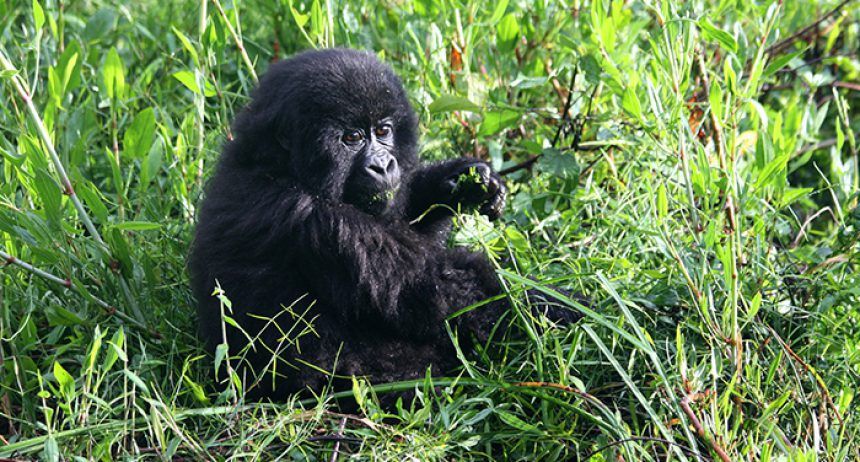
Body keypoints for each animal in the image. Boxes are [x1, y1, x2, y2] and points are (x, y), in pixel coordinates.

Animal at [188, 48, 576, 398]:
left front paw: (461, 181)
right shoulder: (319, 220)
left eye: (383, 130)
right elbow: (448, 297)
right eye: (352, 138)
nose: (384, 165)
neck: (277, 165)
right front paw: (569, 310)